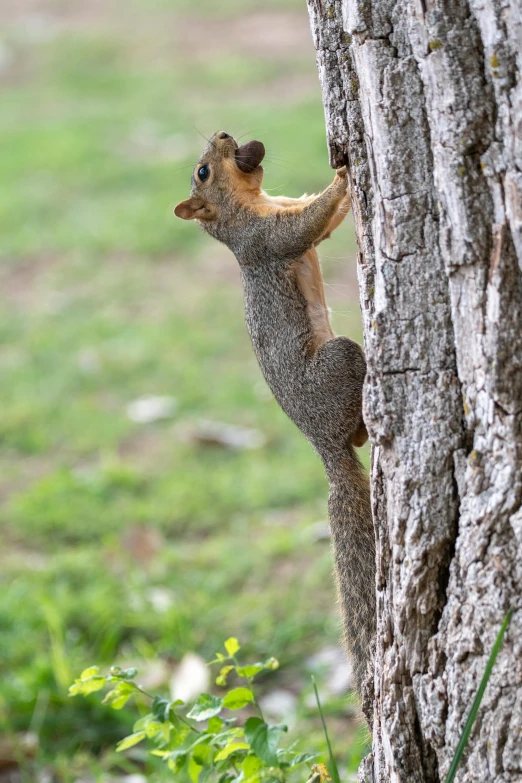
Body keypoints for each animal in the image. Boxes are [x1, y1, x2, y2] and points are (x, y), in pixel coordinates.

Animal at [175, 132, 374, 712]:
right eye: (202, 172)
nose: (223, 134)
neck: (254, 204)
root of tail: (322, 445)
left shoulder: (277, 214)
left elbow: (319, 221)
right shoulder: (266, 240)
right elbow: (307, 225)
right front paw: (344, 173)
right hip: (339, 361)